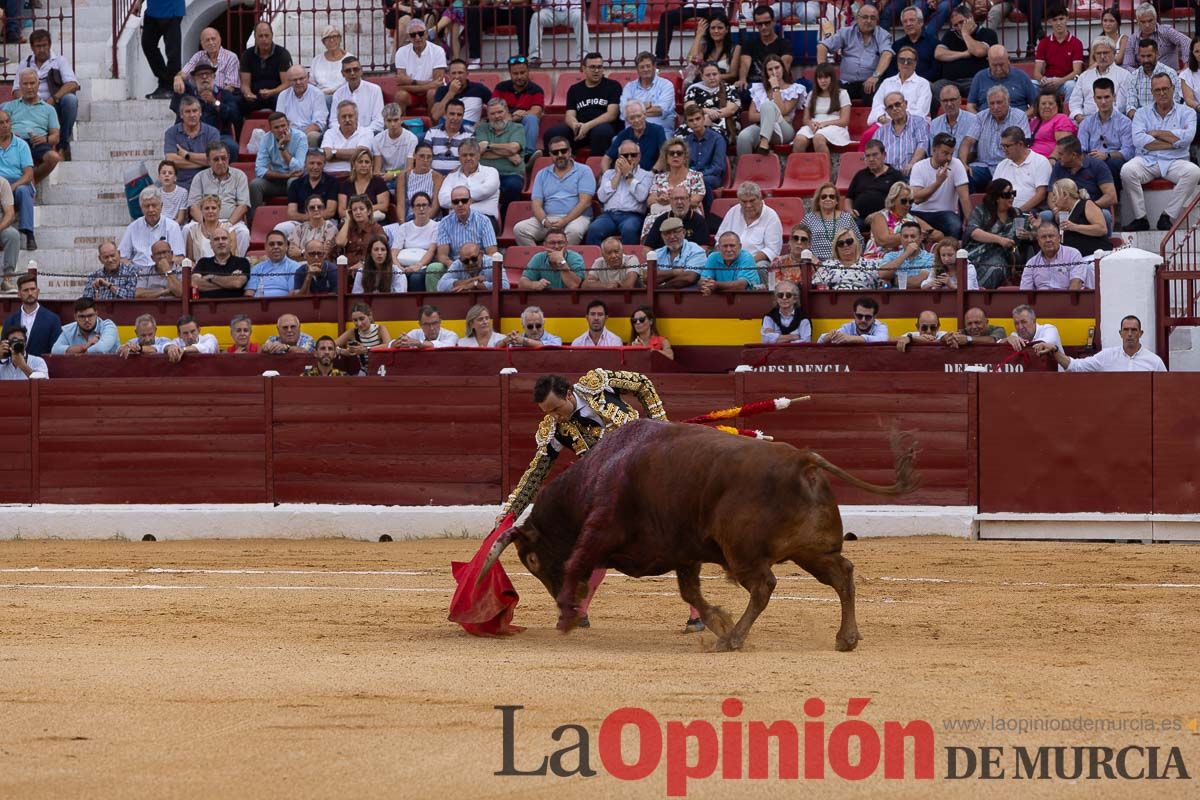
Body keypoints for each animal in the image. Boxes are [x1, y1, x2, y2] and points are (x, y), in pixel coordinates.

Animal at [477, 419, 916, 652]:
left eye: (532, 560)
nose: (562, 603)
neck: (597, 475)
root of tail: (801, 459)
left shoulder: (598, 529)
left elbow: (574, 562)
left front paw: (567, 616)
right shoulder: (683, 551)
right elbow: (689, 590)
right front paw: (716, 619)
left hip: (743, 552)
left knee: (764, 586)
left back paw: (733, 639)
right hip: (812, 550)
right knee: (842, 573)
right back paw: (846, 637)